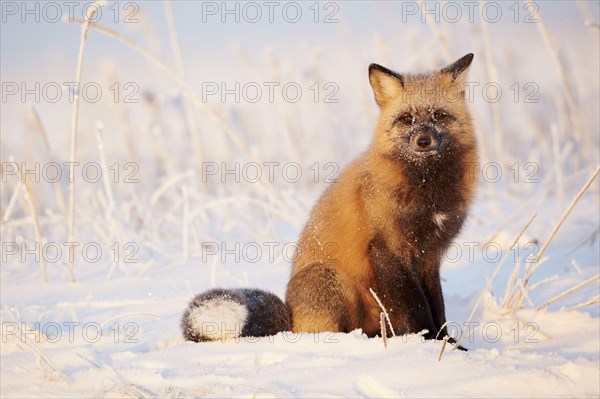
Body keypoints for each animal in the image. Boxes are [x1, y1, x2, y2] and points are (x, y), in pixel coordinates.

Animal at [180, 53, 476, 346]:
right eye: (407, 119)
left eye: (439, 116)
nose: (423, 140)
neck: (427, 189)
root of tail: (290, 320)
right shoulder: (388, 249)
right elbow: (417, 310)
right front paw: (429, 344)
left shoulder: (430, 256)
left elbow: (438, 308)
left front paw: (449, 344)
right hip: (331, 279)